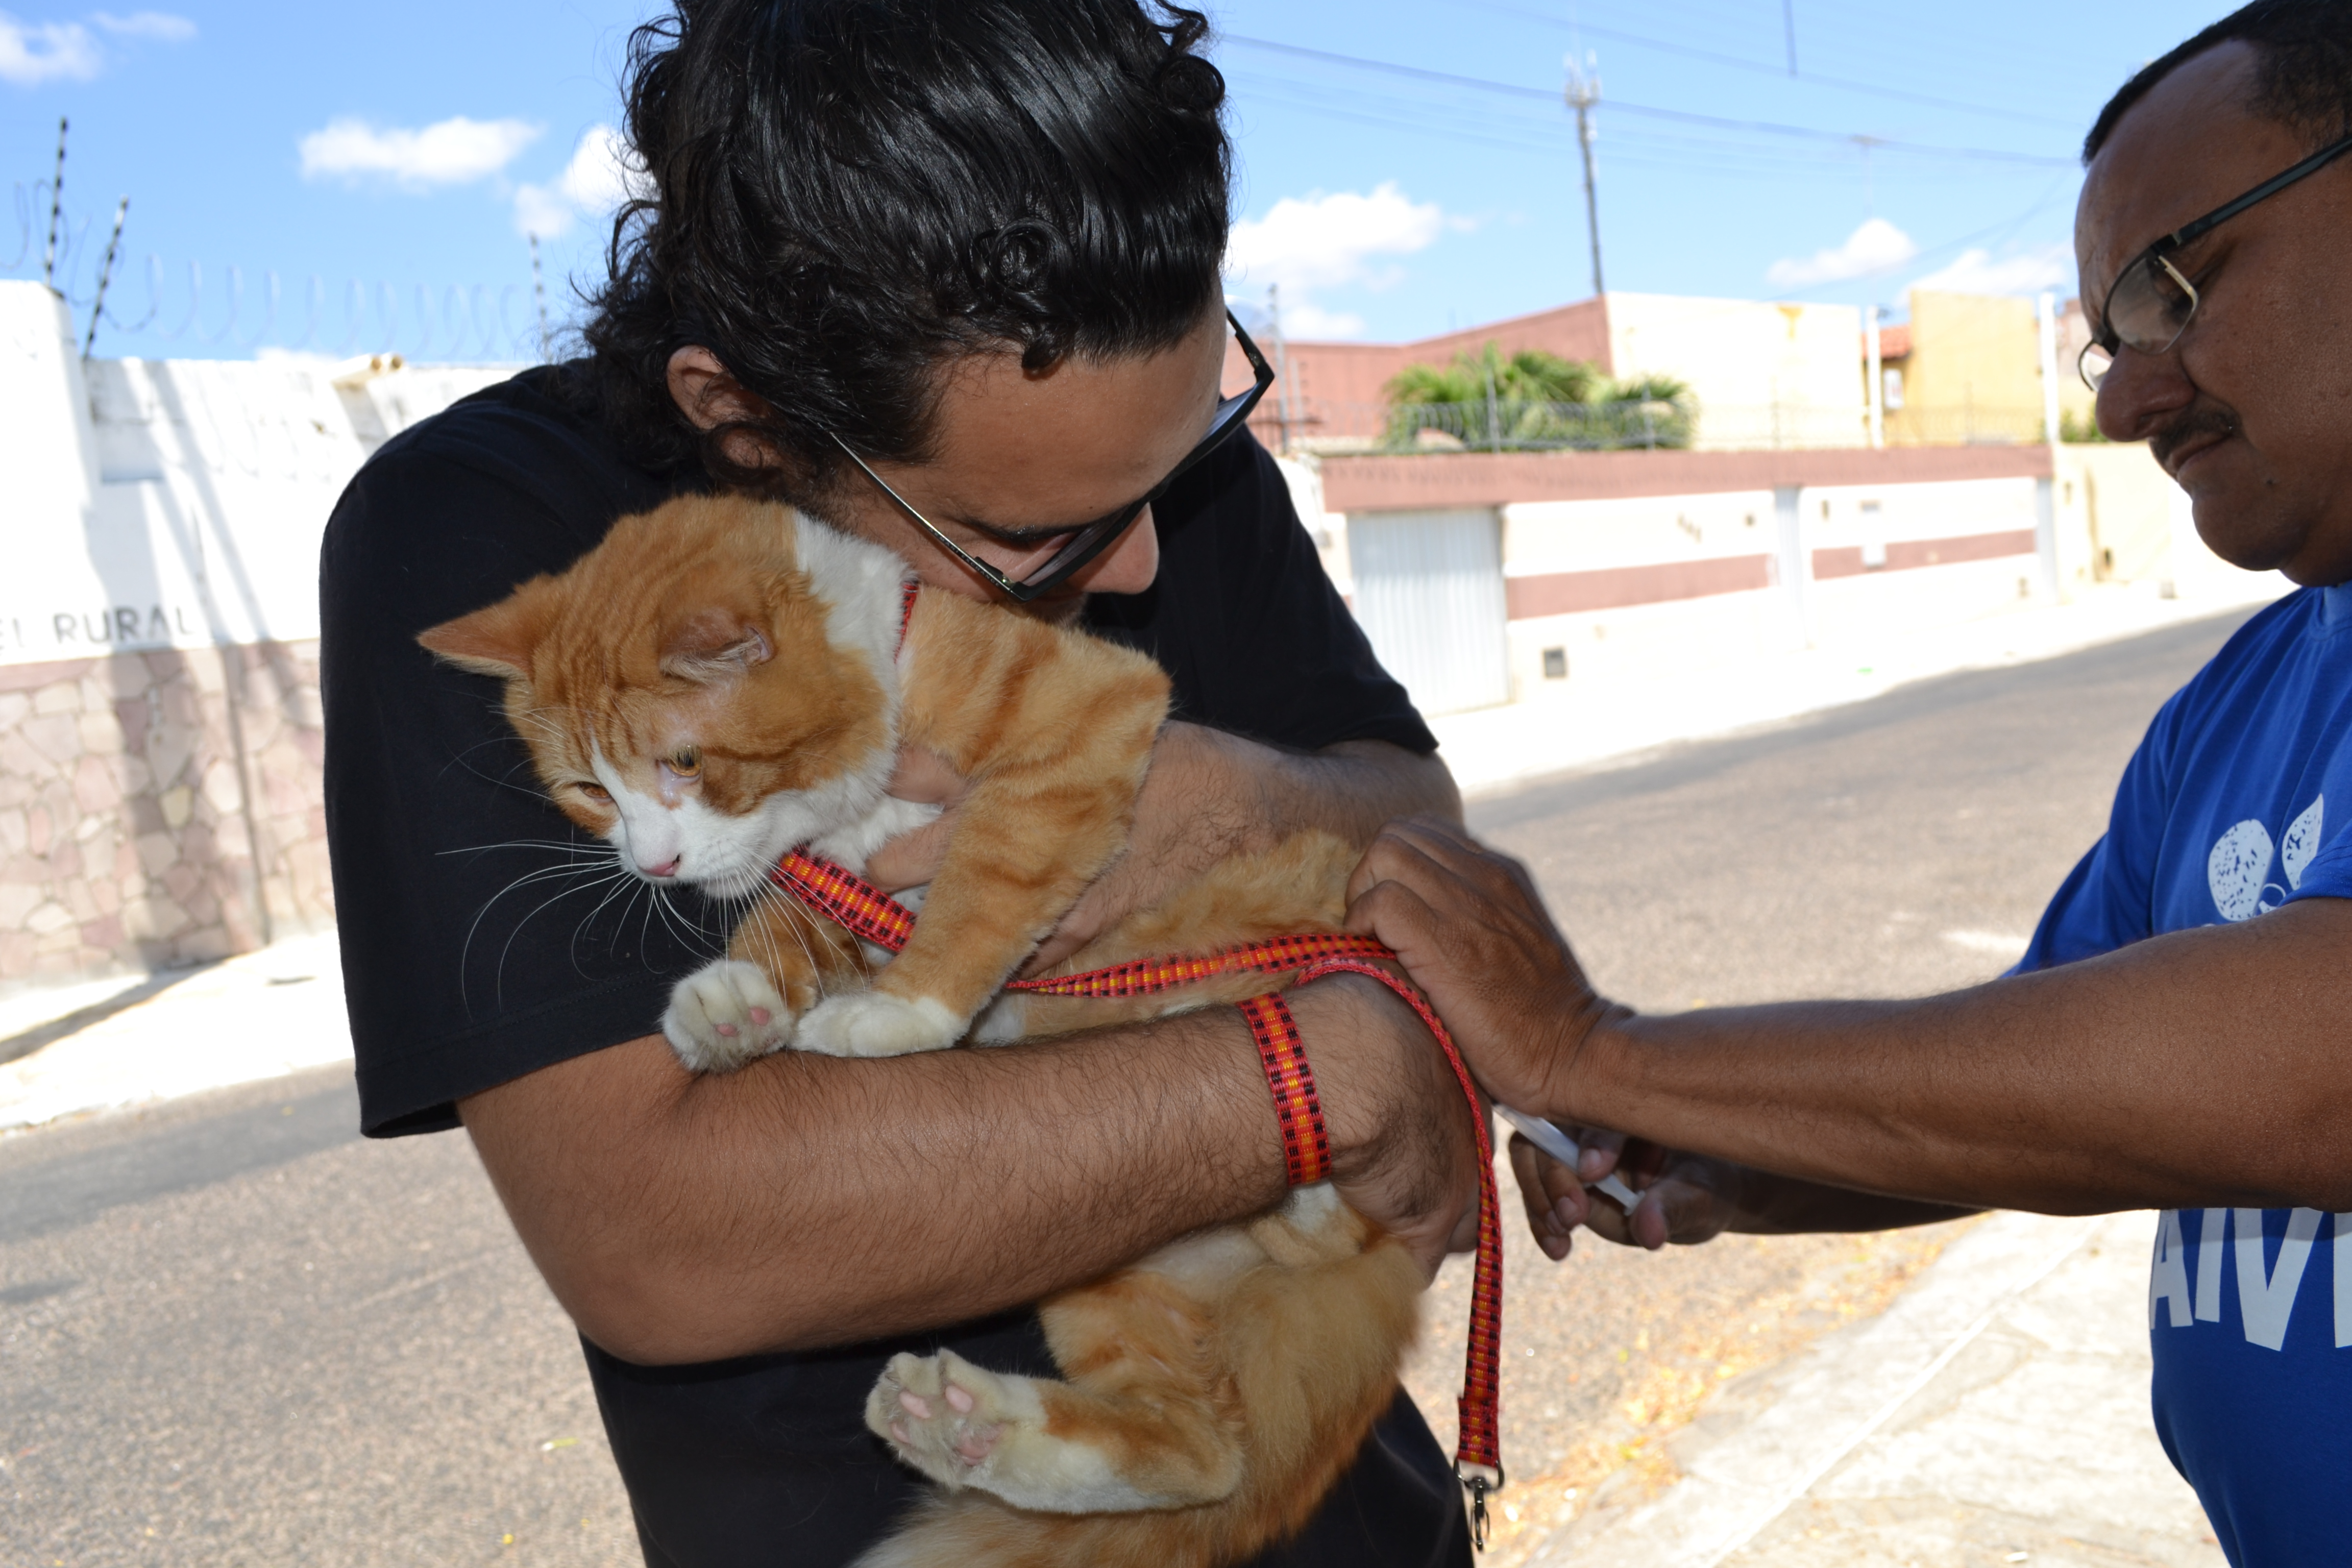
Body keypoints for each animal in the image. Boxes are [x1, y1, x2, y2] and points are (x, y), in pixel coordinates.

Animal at [416, 496, 1420, 1568]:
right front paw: (736, 999)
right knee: (1197, 1452)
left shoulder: (1081, 728)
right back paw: (973, 1426)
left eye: (682, 762)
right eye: (592, 789)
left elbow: (985, 881)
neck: (889, 685)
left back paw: (1282, 1130)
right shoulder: (832, 871)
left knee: (1325, 1223)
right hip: (1101, 1265)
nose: (653, 866)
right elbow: (793, 913)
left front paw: (908, 1007)